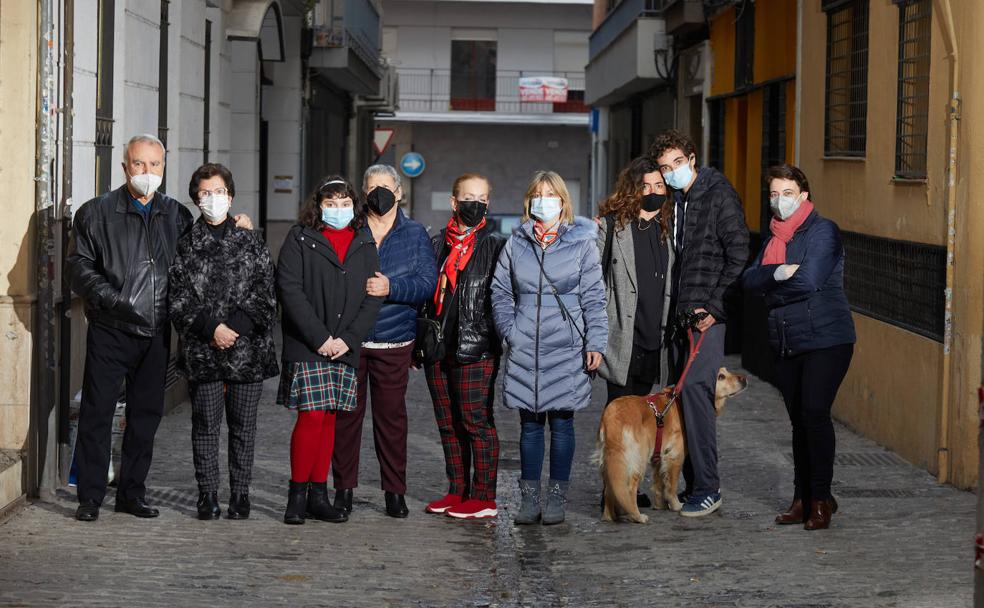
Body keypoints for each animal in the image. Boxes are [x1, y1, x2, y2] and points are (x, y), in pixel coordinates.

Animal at [592, 368, 744, 524]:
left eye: (726, 371)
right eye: (721, 377)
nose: (744, 379)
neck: (681, 402)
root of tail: (612, 417)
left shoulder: (659, 456)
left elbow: (659, 484)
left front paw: (660, 506)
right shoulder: (675, 456)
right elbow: (671, 486)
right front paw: (676, 505)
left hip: (611, 462)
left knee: (609, 489)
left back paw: (610, 516)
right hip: (637, 460)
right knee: (629, 489)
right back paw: (637, 516)